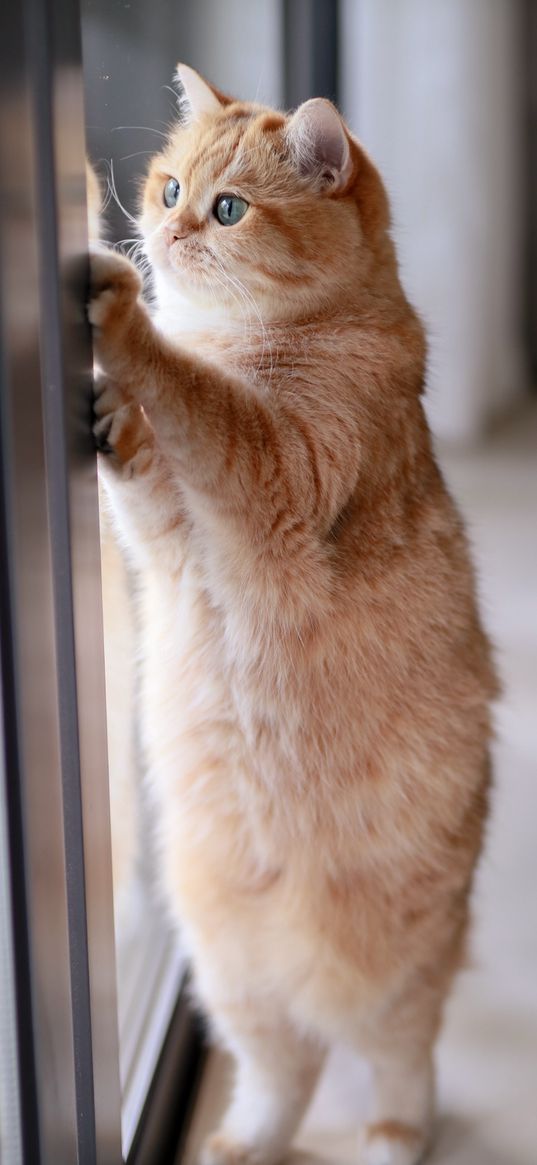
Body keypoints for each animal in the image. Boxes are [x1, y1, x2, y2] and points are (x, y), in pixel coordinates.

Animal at [86, 66, 493, 1165]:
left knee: (399, 1060)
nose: (165, 230)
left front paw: (122, 319)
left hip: (397, 974)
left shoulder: (273, 471)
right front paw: (116, 418)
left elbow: (201, 398)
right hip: (229, 974)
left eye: (227, 209)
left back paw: (393, 1137)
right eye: (169, 185)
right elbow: (147, 476)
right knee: (285, 1069)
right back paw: (244, 1140)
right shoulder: (170, 544)